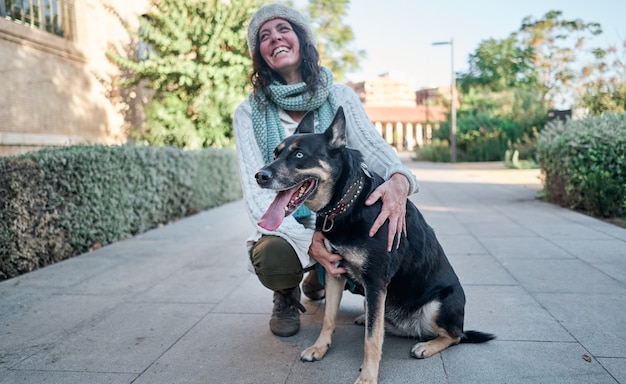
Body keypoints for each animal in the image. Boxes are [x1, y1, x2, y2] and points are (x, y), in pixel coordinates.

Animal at [254, 107, 492, 384]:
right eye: (275, 154)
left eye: (300, 155)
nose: (259, 176)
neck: (348, 202)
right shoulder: (335, 273)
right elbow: (329, 318)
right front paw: (319, 348)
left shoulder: (376, 281)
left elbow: (372, 338)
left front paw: (368, 376)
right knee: (384, 323)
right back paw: (368, 319)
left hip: (438, 304)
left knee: (453, 336)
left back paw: (426, 345)